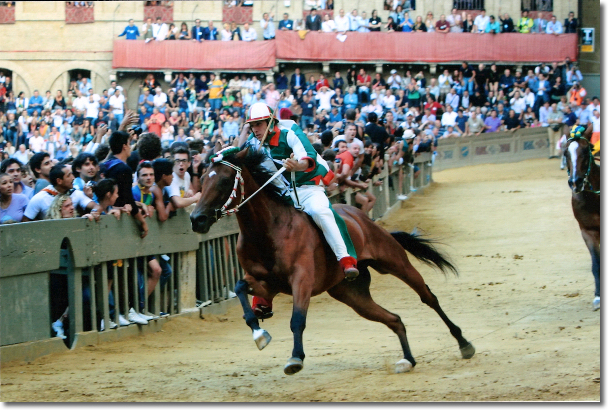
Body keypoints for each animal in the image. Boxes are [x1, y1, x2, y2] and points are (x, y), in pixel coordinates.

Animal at [190, 147, 476, 374]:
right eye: (202, 179)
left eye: (225, 180)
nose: (196, 219)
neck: (268, 230)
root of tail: (363, 218)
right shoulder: (265, 283)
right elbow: (239, 288)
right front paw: (260, 333)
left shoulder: (302, 279)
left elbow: (297, 319)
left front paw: (295, 358)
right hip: (352, 294)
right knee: (394, 319)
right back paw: (408, 360)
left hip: (394, 262)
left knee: (428, 297)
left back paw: (464, 343)